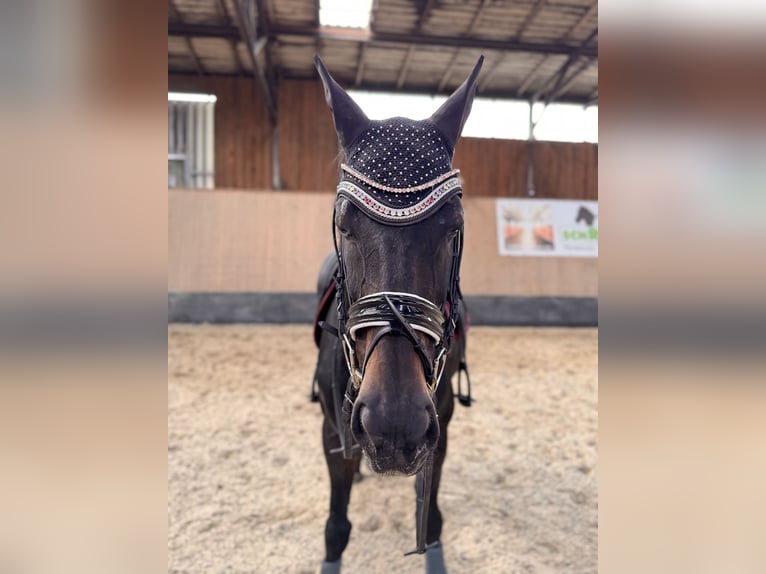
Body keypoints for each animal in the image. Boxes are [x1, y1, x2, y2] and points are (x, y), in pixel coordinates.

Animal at [310, 55, 480, 574]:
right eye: (343, 222)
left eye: (455, 226)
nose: (394, 422)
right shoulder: (333, 434)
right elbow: (336, 527)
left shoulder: (438, 432)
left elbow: (432, 521)